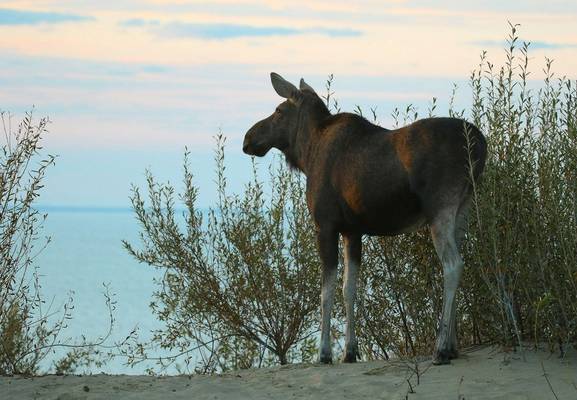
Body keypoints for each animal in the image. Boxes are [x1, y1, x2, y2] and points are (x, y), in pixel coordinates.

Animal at [241, 72, 484, 366]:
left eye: (278, 110)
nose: (248, 138)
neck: (306, 153)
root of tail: (481, 146)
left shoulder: (326, 225)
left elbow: (326, 291)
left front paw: (324, 353)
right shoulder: (353, 230)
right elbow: (350, 289)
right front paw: (349, 351)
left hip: (440, 209)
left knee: (453, 265)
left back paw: (441, 348)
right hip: (462, 209)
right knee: (459, 261)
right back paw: (453, 345)